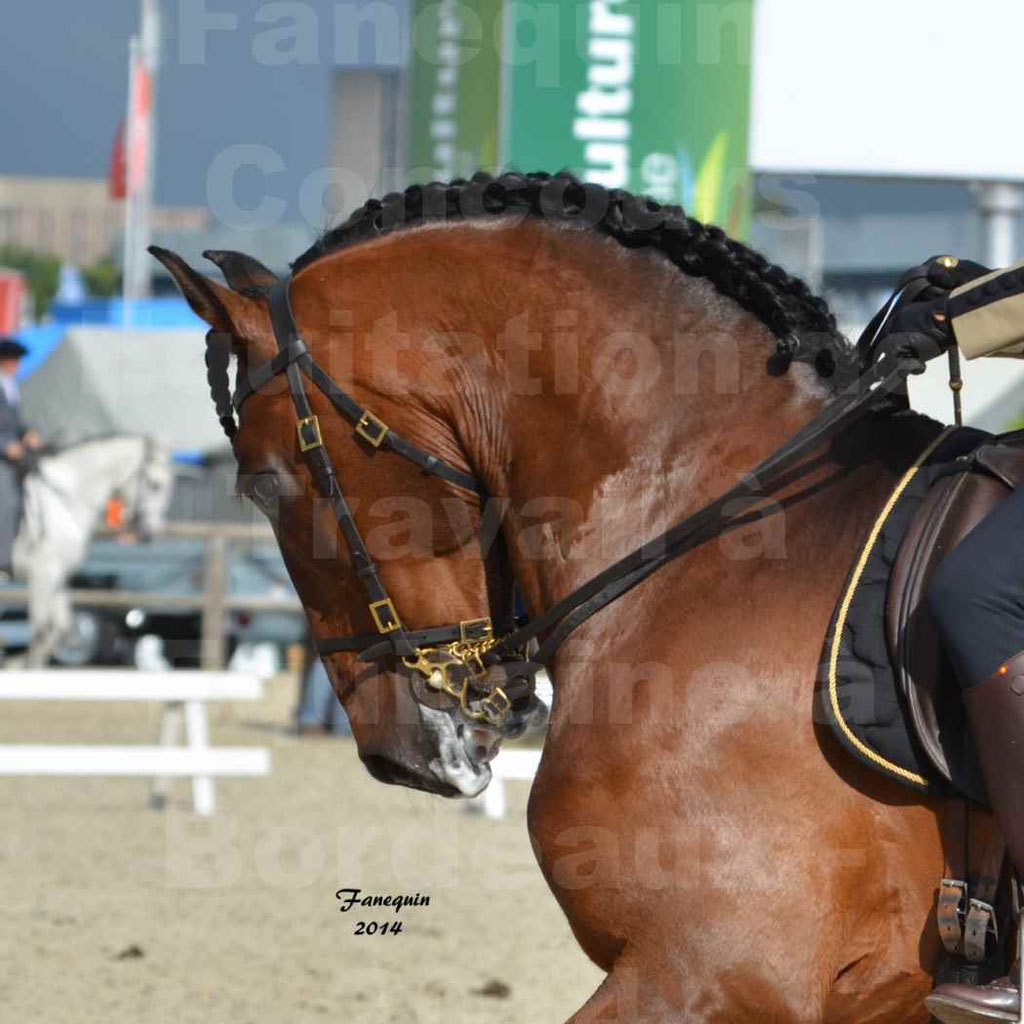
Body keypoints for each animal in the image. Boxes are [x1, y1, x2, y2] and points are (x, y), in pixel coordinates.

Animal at [12, 434, 174, 667]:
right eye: (155, 485)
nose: (149, 533)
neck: (65, 503)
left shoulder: (58, 576)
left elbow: (59, 629)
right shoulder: (43, 573)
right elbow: (41, 631)